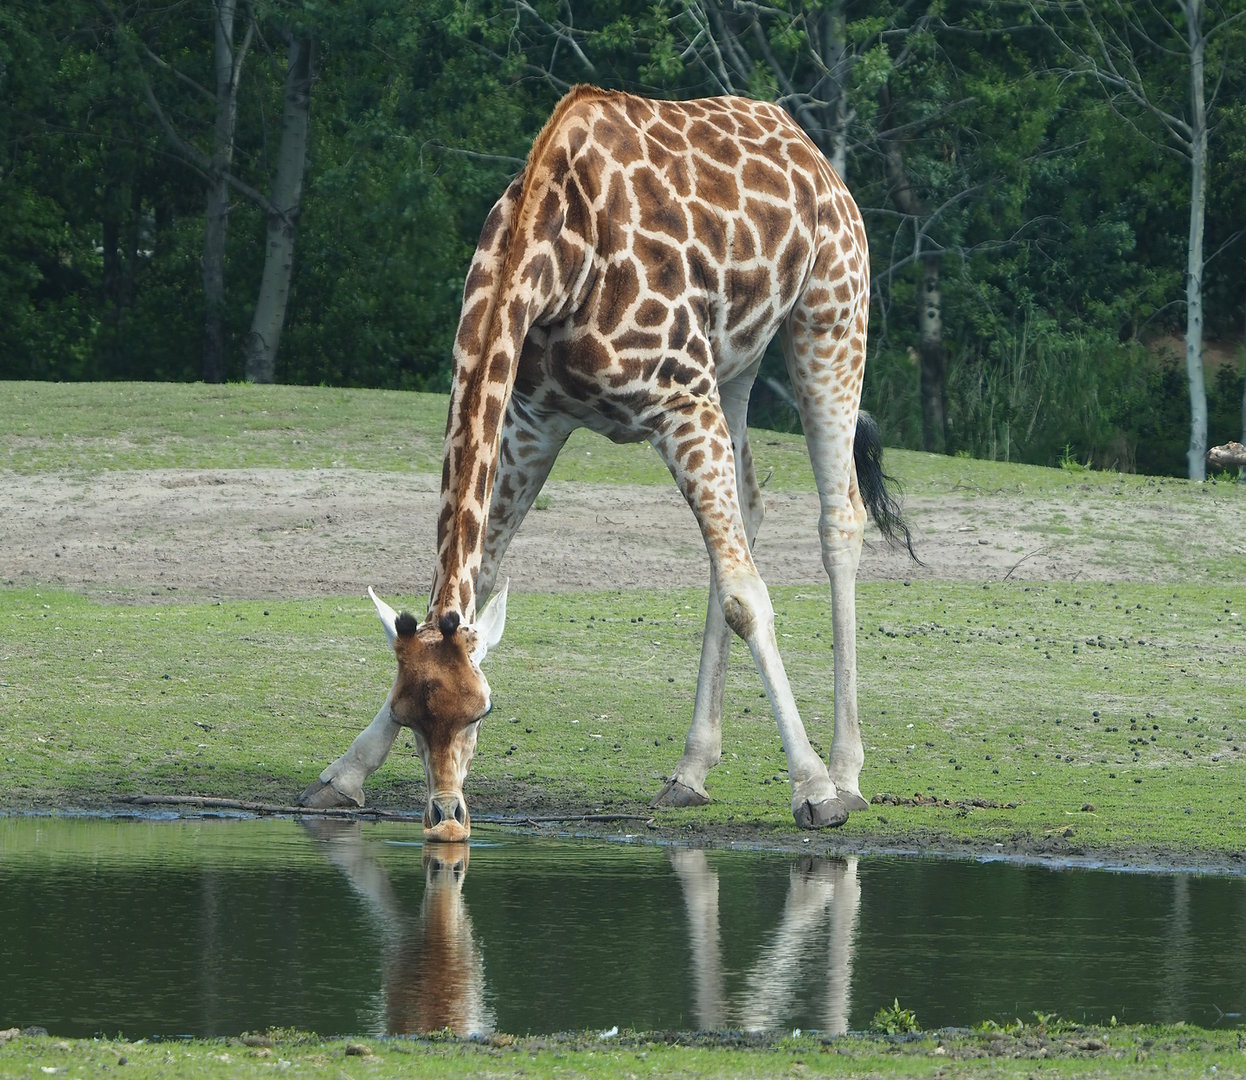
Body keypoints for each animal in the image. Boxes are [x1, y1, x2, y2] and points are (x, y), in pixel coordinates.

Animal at [298, 84, 913, 839]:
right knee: (749, 509)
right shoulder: (537, 417)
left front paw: (815, 789)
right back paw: (690, 772)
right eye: (408, 715)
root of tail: (807, 147)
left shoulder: (679, 400)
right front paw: (344, 774)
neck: (556, 255)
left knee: (838, 517)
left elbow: (746, 598)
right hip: (733, 361)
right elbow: (482, 572)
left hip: (830, 313)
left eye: (484, 711)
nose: (447, 816)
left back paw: (848, 773)